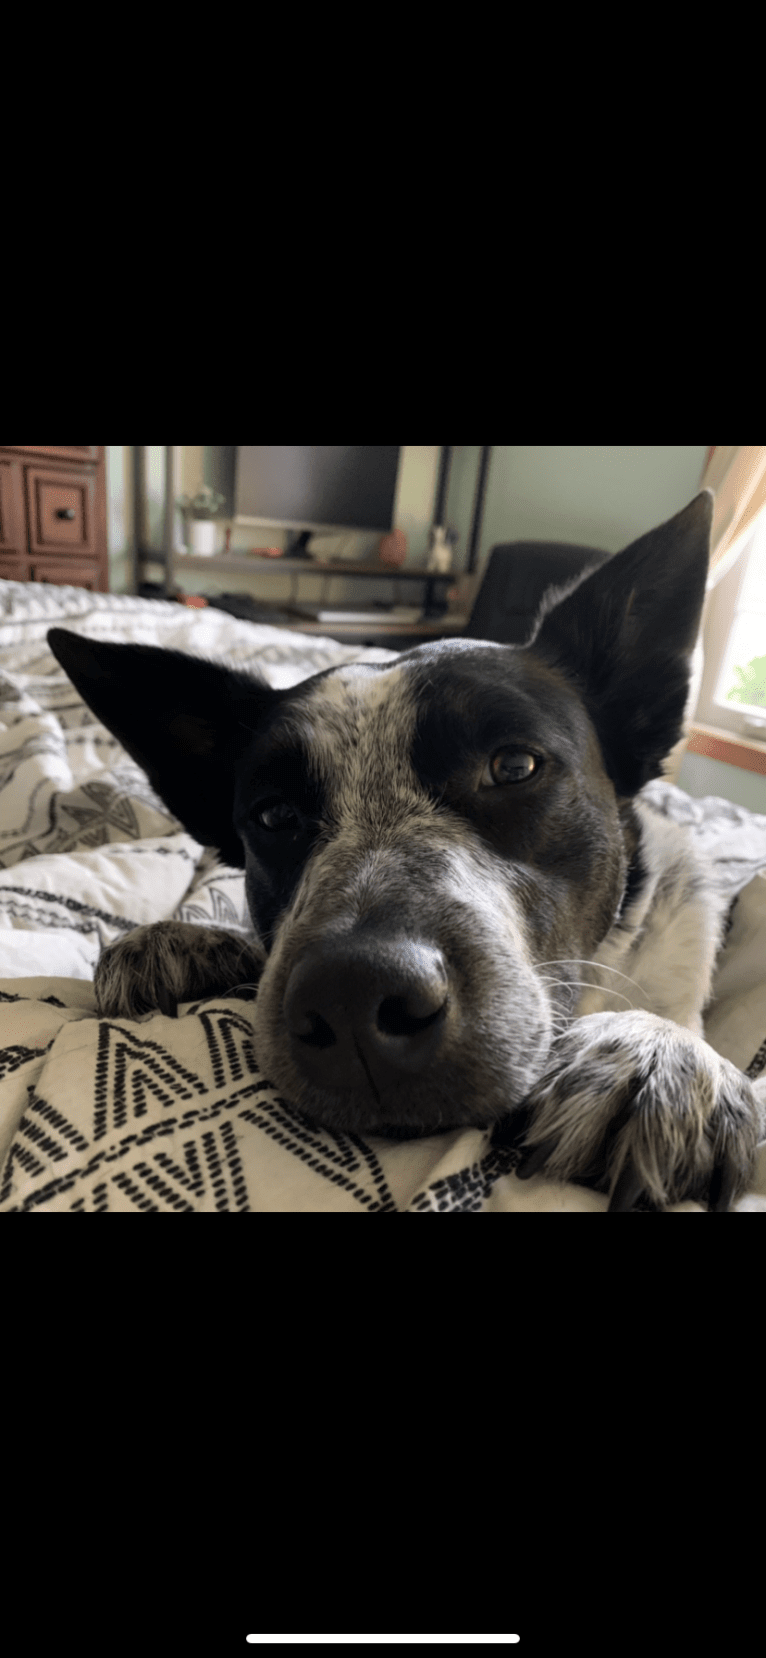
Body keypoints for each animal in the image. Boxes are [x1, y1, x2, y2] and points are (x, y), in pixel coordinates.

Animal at [49, 484, 766, 1213]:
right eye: (275, 814)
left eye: (514, 766)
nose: (352, 997)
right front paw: (187, 939)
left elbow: (673, 1021)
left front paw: (656, 1049)